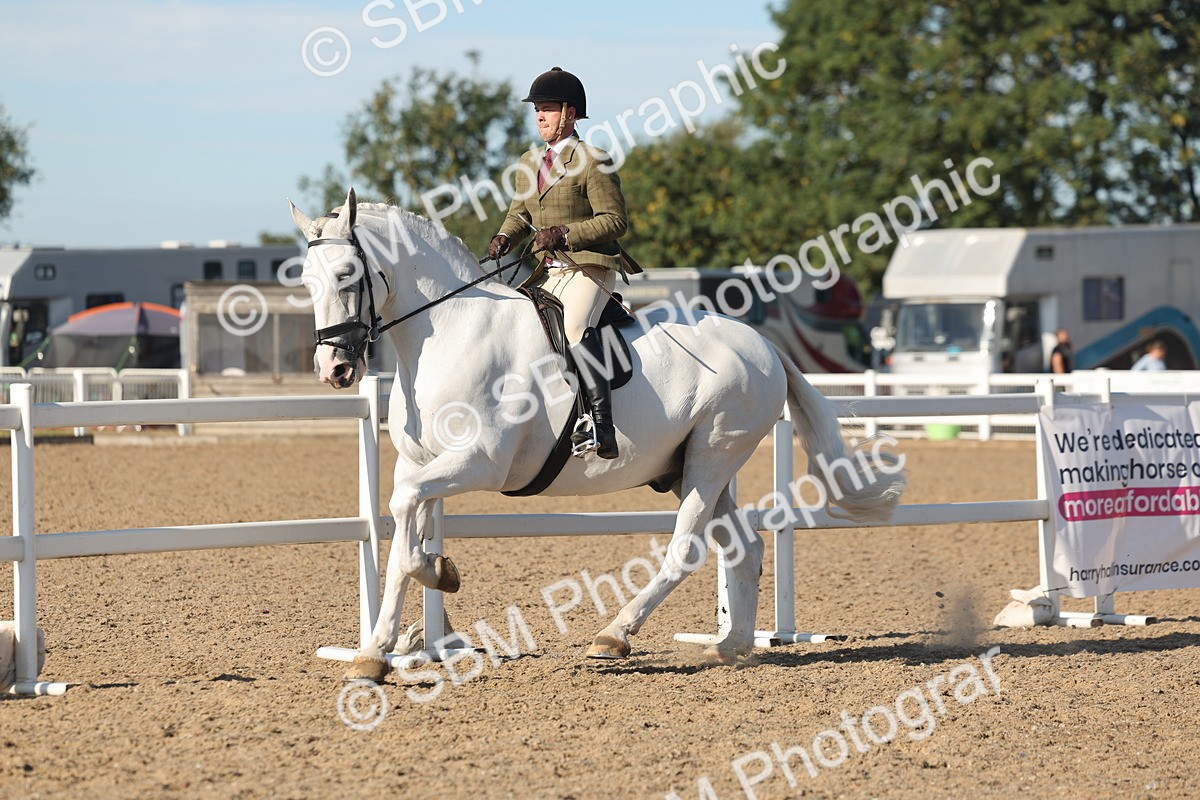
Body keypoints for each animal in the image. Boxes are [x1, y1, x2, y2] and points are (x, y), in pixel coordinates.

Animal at [289, 189, 906, 681]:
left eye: (346, 276)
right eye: (306, 281)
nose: (334, 369)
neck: (453, 329)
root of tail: (763, 343)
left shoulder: (478, 462)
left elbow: (404, 515)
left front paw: (430, 586)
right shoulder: (418, 463)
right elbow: (402, 532)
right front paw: (382, 645)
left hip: (713, 455)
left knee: (685, 549)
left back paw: (613, 637)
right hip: (691, 467)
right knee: (744, 548)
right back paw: (728, 647)